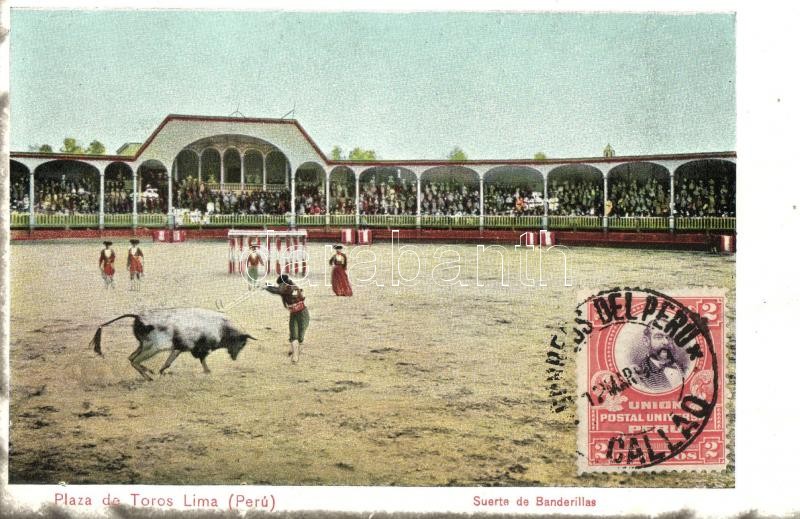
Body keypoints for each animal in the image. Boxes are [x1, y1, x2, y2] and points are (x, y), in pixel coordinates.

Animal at [92, 306, 258, 380]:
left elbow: (169, 362)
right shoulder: (199, 349)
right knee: (135, 360)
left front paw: (162, 371)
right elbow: (203, 359)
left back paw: (149, 372)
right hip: (153, 348)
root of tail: (138, 317)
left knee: (131, 358)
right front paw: (208, 371)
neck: (222, 328)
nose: (234, 358)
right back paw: (149, 376)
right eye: (242, 343)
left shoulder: (179, 348)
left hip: (143, 345)